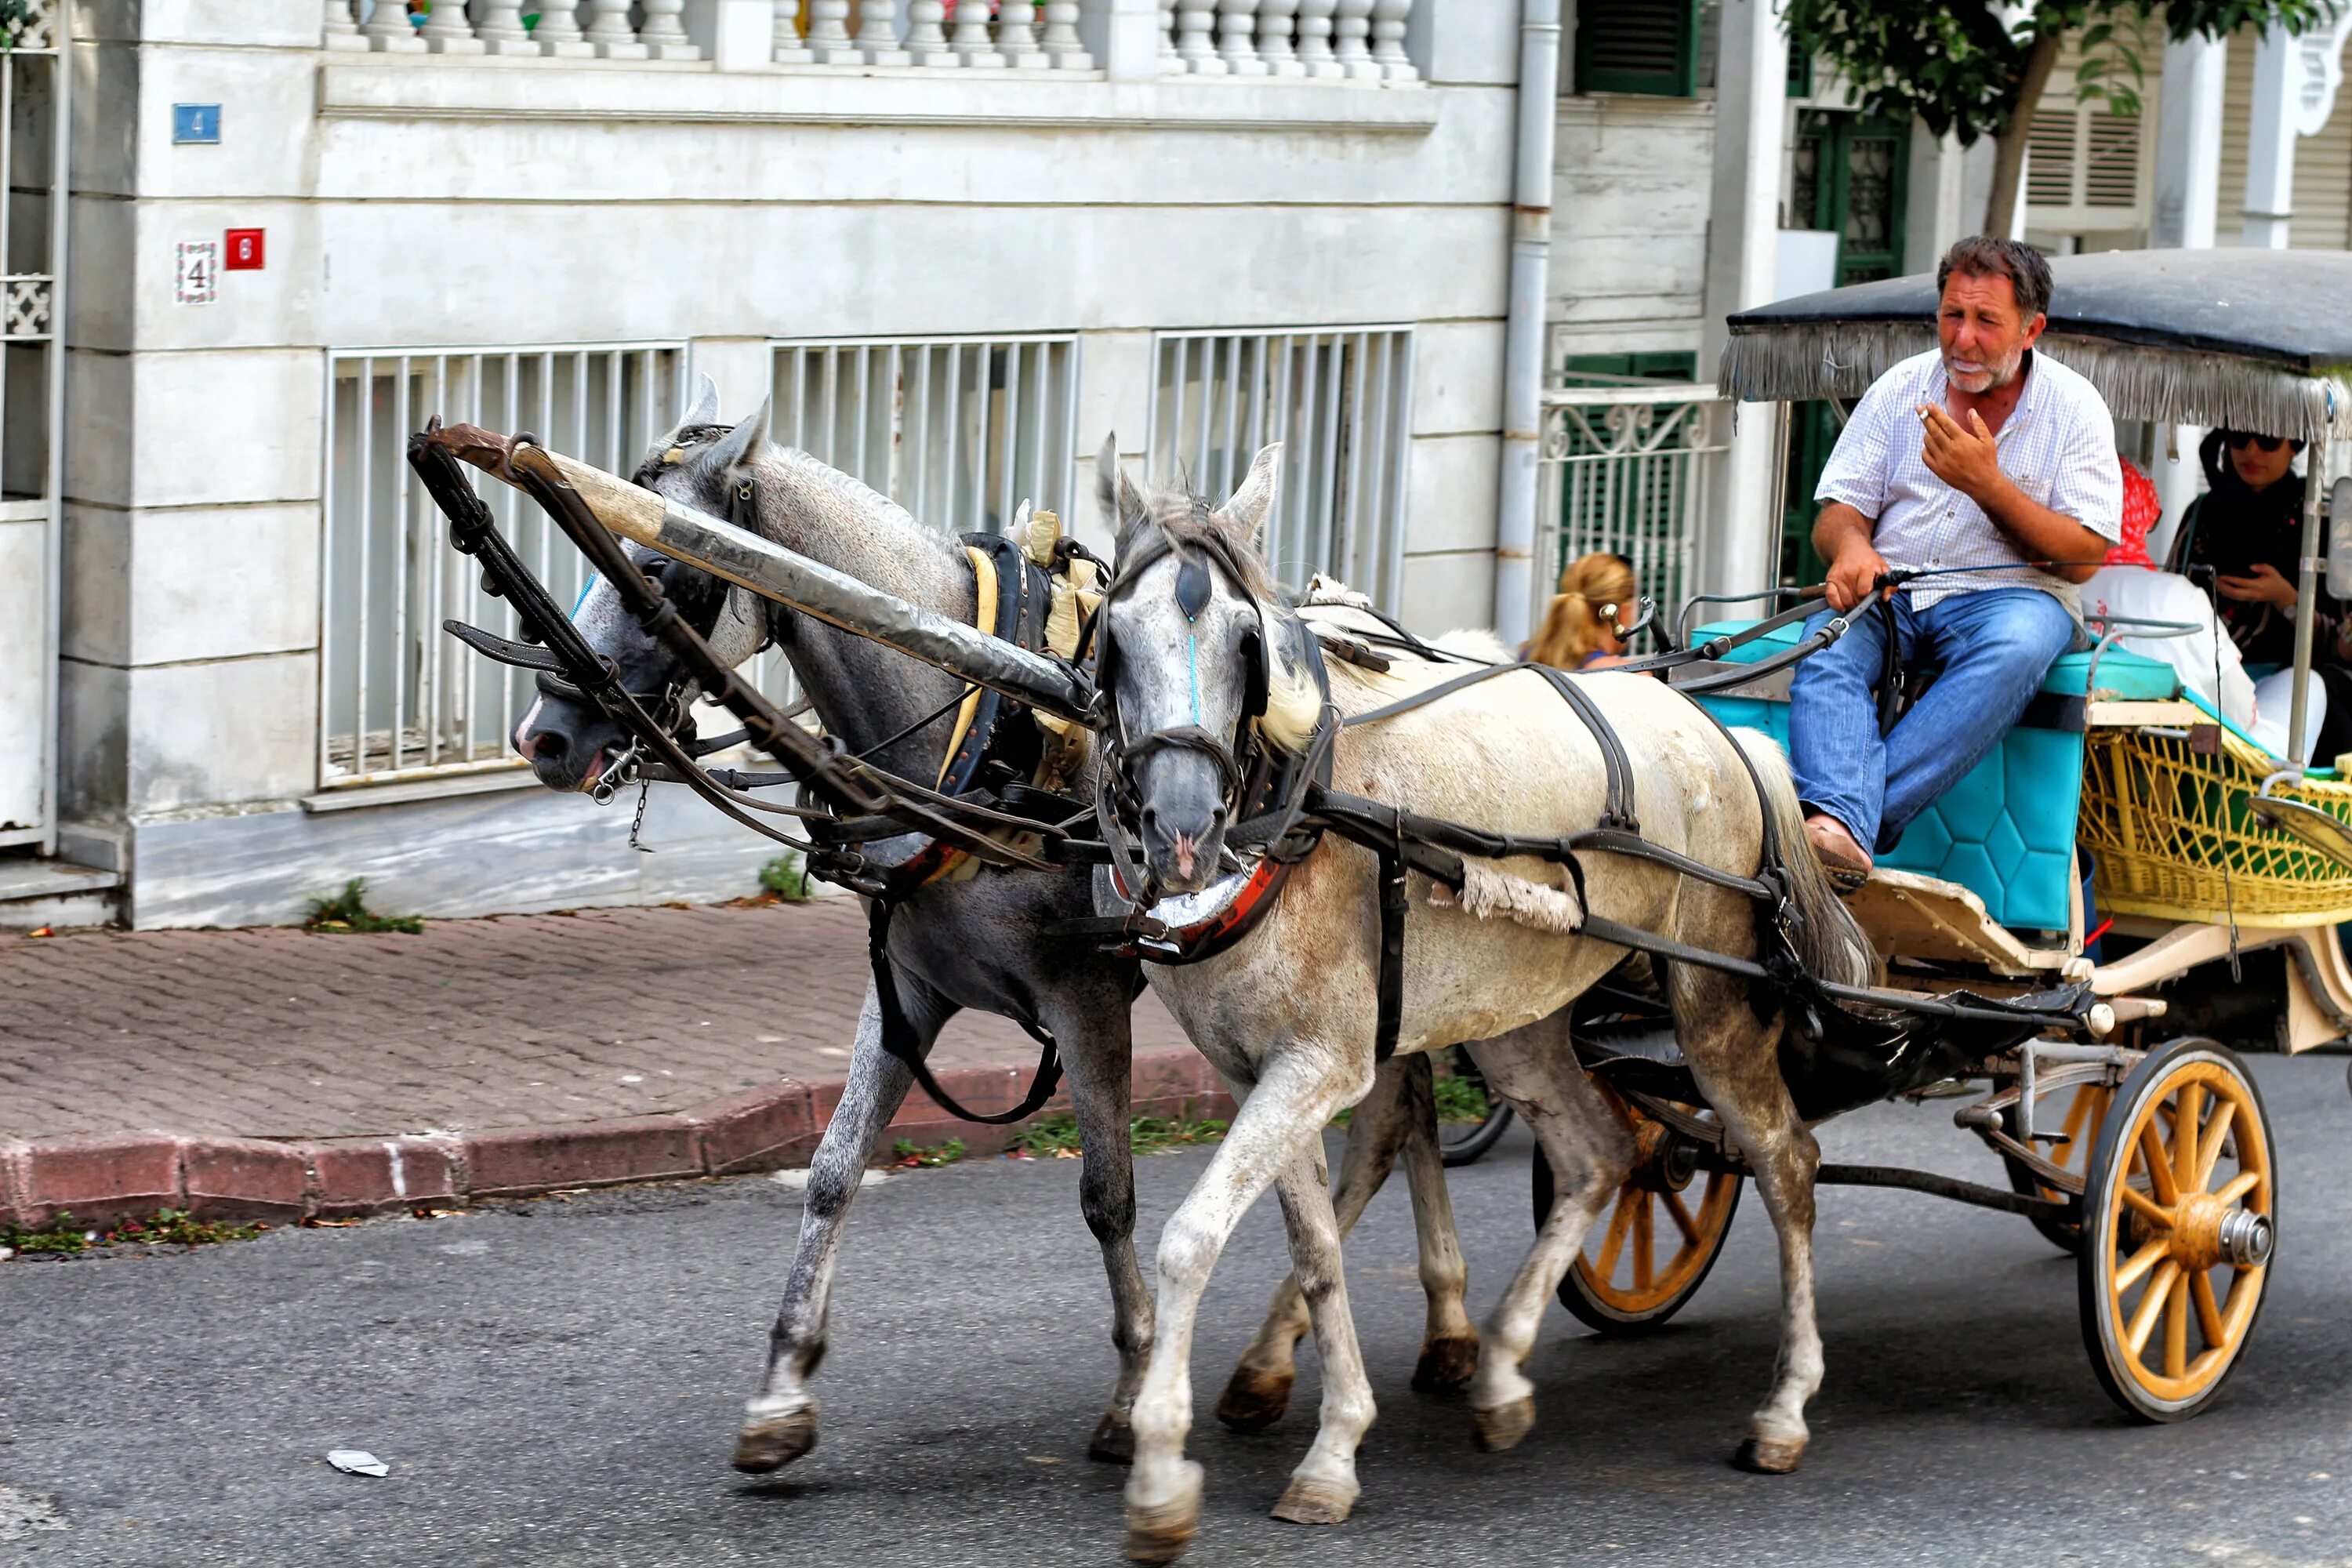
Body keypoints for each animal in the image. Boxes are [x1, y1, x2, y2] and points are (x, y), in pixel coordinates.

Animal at [515, 383, 1477, 1486]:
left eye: (663, 567)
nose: (545, 735)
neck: (981, 722)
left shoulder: (1088, 999)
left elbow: (1109, 1194)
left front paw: (1132, 1391)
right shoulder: (908, 991)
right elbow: (834, 1170)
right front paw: (782, 1388)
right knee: (1406, 1104)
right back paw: (1430, 1332)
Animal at [1091, 446, 1882, 1561]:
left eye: (1248, 639)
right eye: (1116, 632)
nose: (1182, 825)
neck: (1299, 806)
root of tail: (1727, 733)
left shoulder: (1319, 1065)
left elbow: (1193, 1239)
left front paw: (1164, 1470)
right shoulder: (1262, 1071)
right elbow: (1317, 1245)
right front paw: (1332, 1441)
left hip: (1715, 1006)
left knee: (1785, 1162)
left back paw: (1783, 1406)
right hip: (1520, 1019)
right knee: (1600, 1150)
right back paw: (1503, 1366)